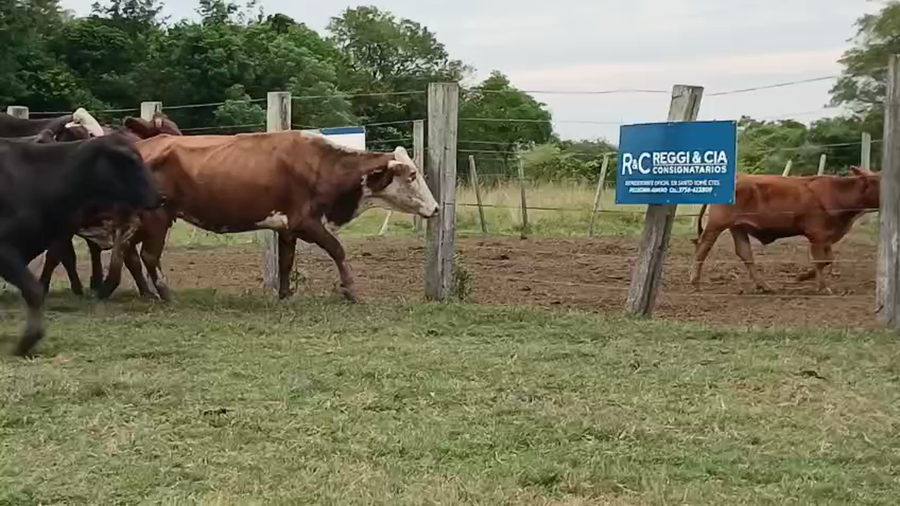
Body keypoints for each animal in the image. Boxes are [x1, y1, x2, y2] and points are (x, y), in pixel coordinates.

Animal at [98, 130, 440, 302]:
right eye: (411, 175)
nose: (436, 208)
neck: (321, 164)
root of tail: (142, 146)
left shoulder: (287, 228)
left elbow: (286, 261)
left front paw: (285, 294)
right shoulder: (307, 223)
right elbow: (338, 250)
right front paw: (351, 290)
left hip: (140, 220)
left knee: (127, 250)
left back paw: (133, 290)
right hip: (156, 217)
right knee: (148, 255)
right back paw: (165, 294)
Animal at [689, 166, 880, 294]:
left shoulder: (826, 236)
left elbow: (828, 260)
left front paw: (803, 277)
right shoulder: (817, 235)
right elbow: (821, 261)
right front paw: (822, 287)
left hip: (738, 227)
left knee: (744, 253)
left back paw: (764, 286)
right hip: (716, 224)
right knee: (703, 248)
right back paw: (695, 281)